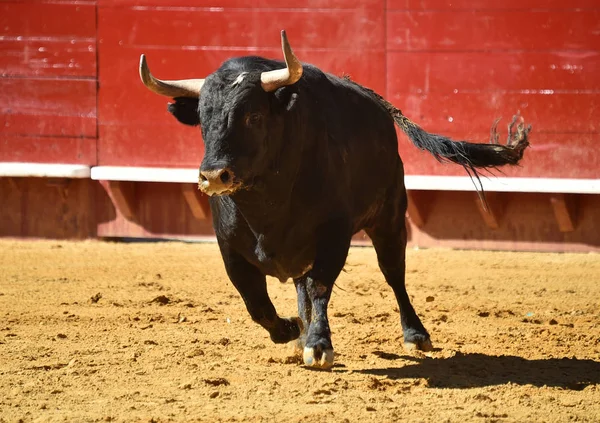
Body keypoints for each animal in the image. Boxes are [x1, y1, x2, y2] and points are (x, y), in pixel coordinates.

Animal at [137, 29, 528, 370]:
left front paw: (318, 345)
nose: (214, 176)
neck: (265, 206)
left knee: (393, 273)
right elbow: (256, 301)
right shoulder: (228, 246)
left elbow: (320, 284)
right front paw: (293, 331)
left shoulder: (334, 233)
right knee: (300, 284)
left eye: (254, 115)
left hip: (389, 218)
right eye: (203, 118)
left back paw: (415, 335)